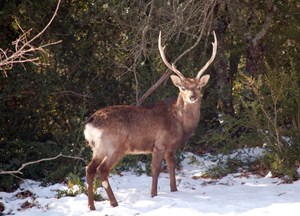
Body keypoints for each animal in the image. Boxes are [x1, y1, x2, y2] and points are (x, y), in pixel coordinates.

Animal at [83, 30, 217, 209]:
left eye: (199, 86)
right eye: (182, 87)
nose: (192, 97)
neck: (180, 124)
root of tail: (89, 124)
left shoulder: (171, 148)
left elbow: (172, 167)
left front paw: (174, 190)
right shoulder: (159, 144)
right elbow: (155, 170)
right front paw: (154, 194)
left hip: (97, 148)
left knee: (89, 169)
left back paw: (91, 206)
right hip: (114, 146)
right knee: (102, 170)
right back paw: (114, 203)